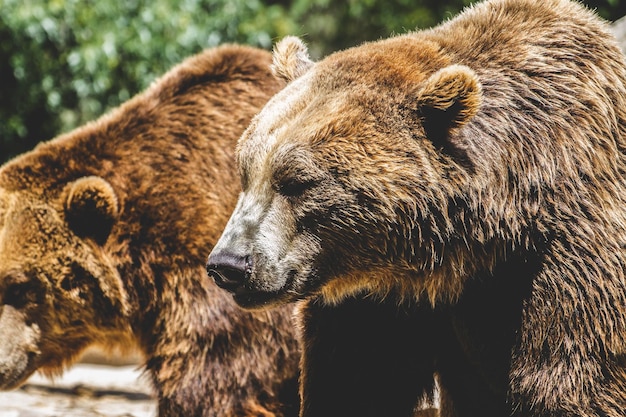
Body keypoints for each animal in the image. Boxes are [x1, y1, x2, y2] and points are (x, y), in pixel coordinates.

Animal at [205, 0, 626, 414]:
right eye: (246, 172)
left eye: (297, 181)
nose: (229, 264)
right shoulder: (381, 297)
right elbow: (354, 382)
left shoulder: (567, 257)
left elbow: (571, 381)